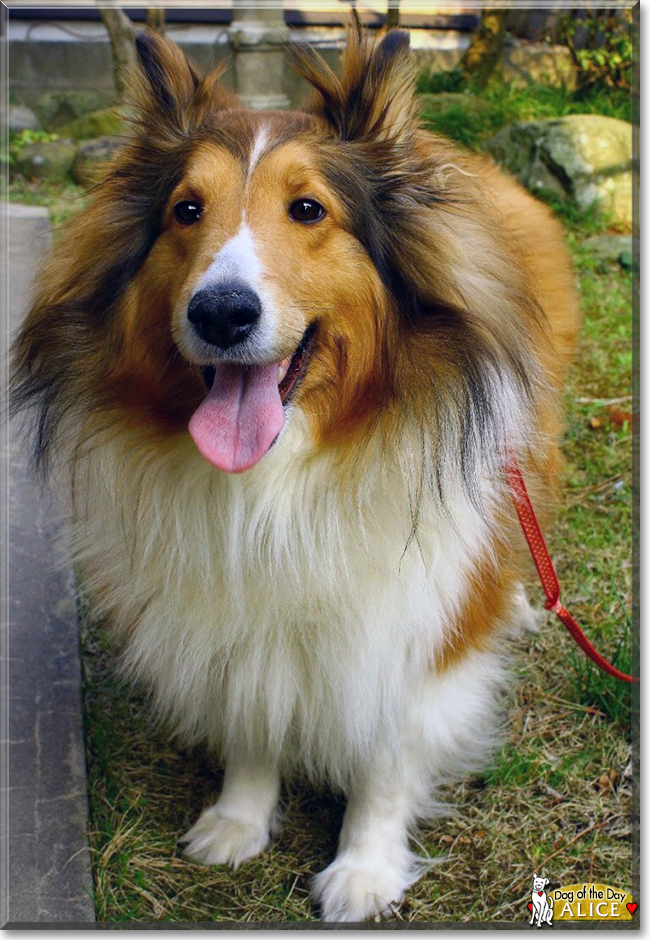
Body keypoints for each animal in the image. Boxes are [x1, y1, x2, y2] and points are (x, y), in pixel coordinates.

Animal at [10, 25, 576, 920]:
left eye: (308, 209)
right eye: (186, 210)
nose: (220, 313)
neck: (278, 476)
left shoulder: (408, 616)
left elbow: (387, 748)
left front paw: (365, 868)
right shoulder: (235, 605)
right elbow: (253, 708)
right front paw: (239, 820)